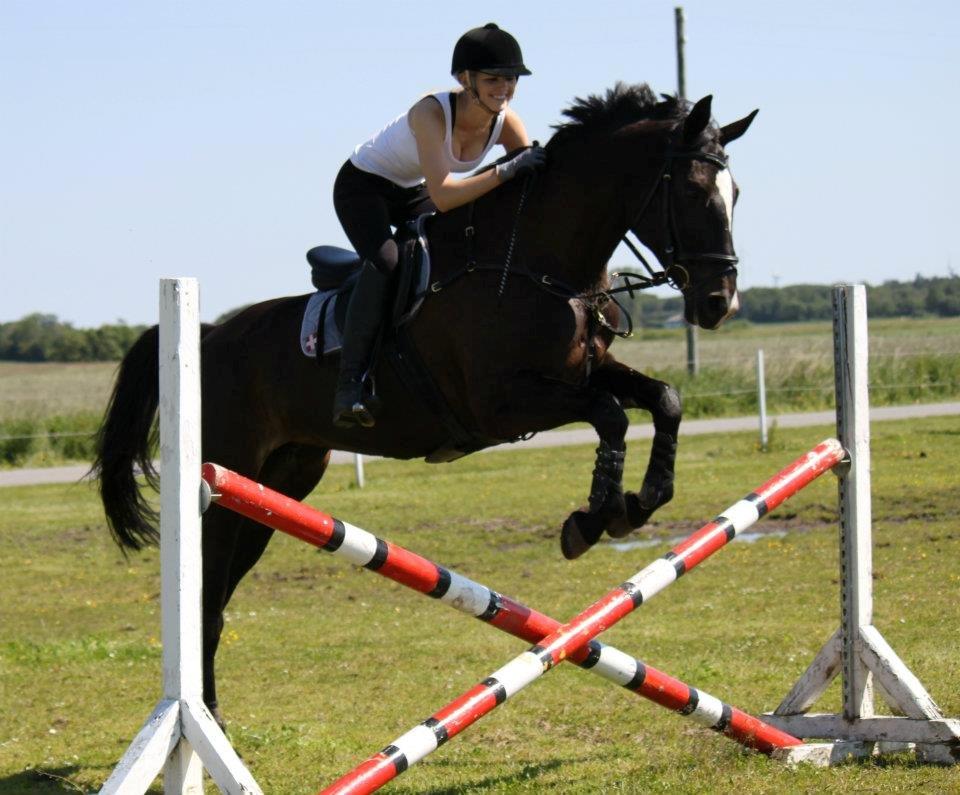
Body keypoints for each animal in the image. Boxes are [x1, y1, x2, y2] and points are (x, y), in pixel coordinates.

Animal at [97, 82, 756, 728]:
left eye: (736, 194)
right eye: (691, 191)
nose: (719, 303)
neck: (535, 259)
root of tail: (208, 335)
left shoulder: (587, 373)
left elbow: (663, 400)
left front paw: (640, 503)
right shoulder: (502, 405)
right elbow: (610, 415)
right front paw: (592, 520)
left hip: (280, 483)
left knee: (222, 588)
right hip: (227, 476)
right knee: (207, 596)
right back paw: (207, 715)